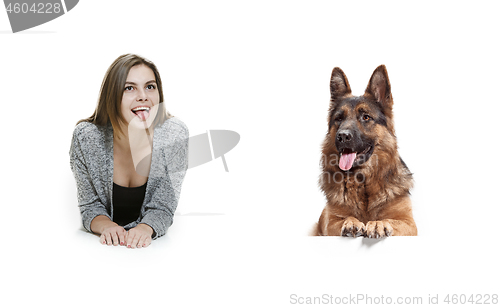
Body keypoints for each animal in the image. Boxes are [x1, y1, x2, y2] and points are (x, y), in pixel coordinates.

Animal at [314, 65, 416, 238]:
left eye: (366, 117)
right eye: (339, 119)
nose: (342, 136)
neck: (362, 181)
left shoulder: (409, 223)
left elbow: (390, 220)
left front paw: (377, 224)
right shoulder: (329, 223)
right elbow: (344, 218)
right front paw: (351, 222)